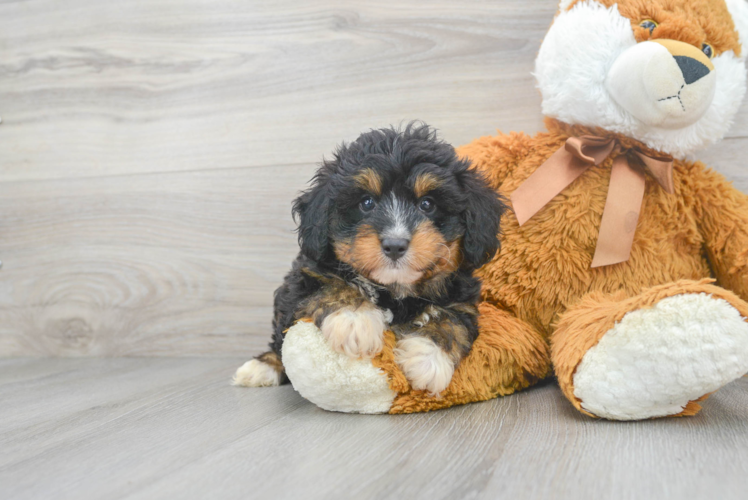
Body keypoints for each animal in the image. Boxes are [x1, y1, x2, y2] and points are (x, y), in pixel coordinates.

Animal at [232, 124, 502, 394]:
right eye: (367, 203)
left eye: (427, 204)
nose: (395, 245)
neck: (393, 289)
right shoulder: (306, 275)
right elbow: (331, 285)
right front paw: (354, 320)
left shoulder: (462, 298)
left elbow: (453, 319)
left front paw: (428, 358)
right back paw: (262, 366)